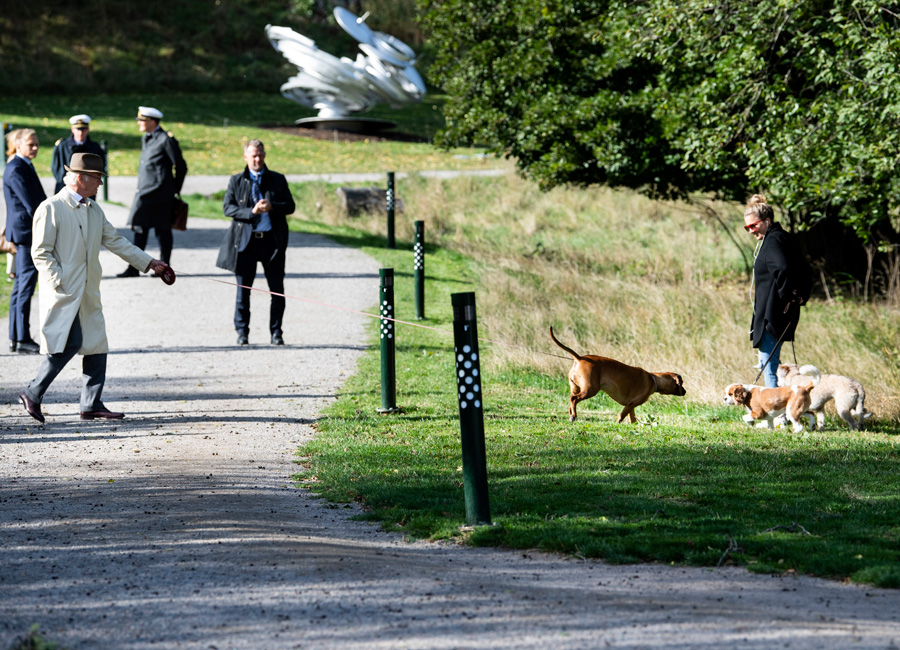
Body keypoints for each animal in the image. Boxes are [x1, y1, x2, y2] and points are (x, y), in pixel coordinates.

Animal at [548, 326, 688, 422]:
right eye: (681, 384)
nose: (685, 391)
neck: (653, 379)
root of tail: (580, 358)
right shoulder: (631, 404)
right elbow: (621, 416)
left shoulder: (631, 405)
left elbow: (632, 418)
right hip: (590, 389)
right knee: (574, 399)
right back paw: (574, 415)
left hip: (575, 387)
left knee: (571, 401)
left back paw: (571, 414)